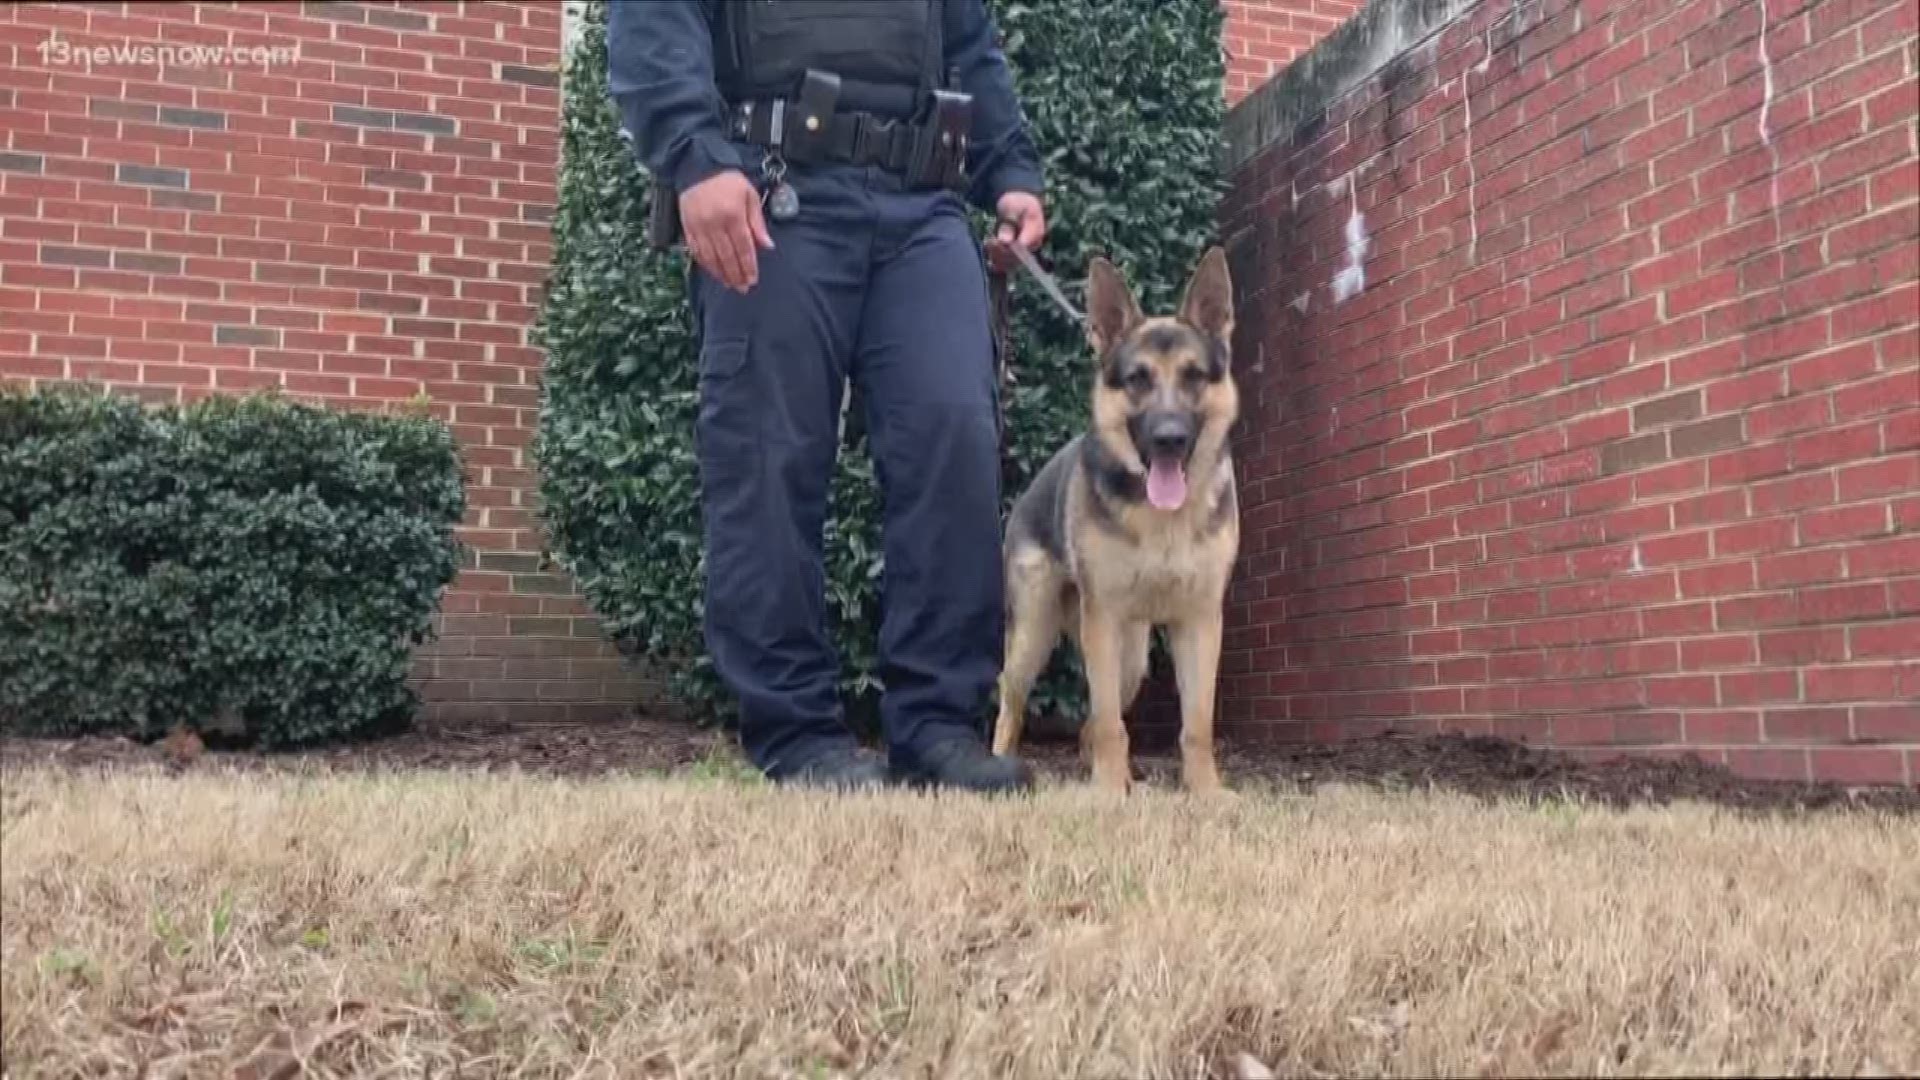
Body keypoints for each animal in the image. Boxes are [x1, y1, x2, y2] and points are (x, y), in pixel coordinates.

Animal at [990, 249, 1244, 791]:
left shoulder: (1200, 623)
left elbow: (1197, 724)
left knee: (1092, 722)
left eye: (1194, 376)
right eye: (1137, 379)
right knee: (1014, 699)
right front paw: (1107, 793)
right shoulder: (1102, 620)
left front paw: (1205, 791)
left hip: (1130, 661)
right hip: (1034, 635)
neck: (1161, 521)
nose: (1169, 438)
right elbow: (1110, 724)